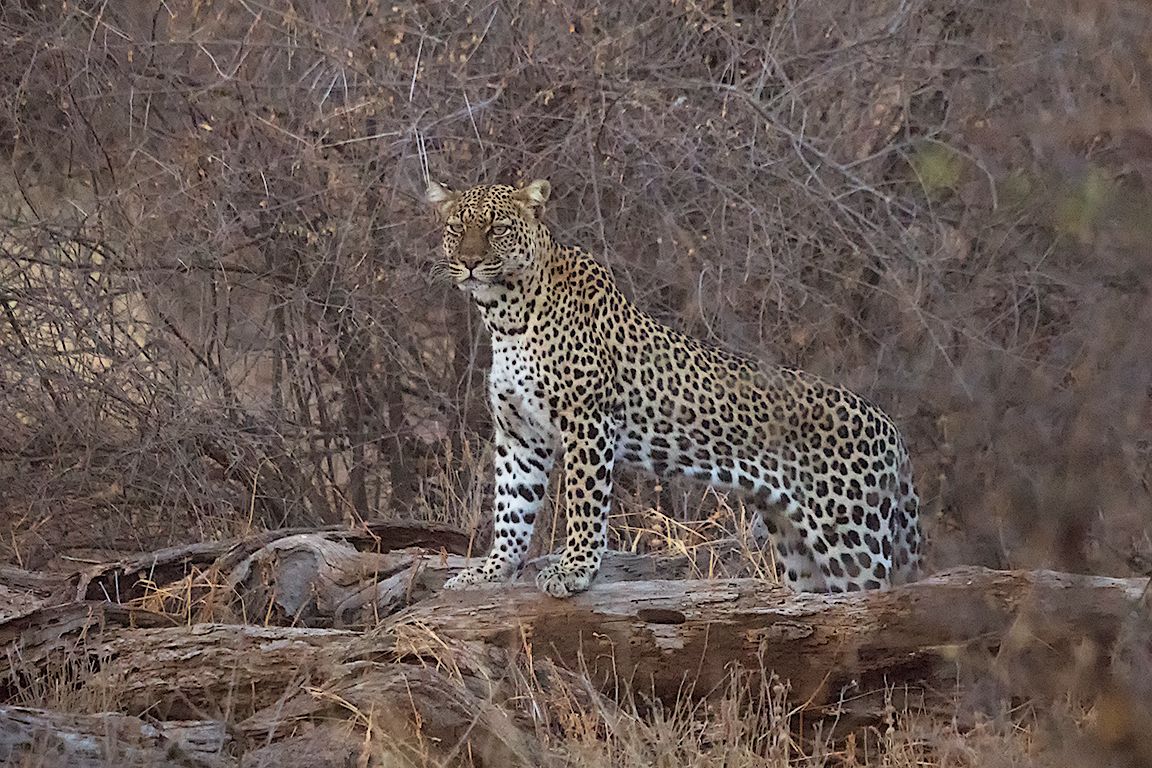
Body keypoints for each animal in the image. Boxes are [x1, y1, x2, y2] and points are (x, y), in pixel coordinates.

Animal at [427, 178, 922, 598]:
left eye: (497, 228)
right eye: (457, 228)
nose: (469, 262)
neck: (505, 315)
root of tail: (892, 429)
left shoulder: (587, 422)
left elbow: (584, 503)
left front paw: (574, 570)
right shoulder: (520, 434)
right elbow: (512, 508)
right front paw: (491, 570)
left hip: (853, 541)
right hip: (796, 546)